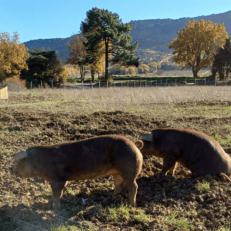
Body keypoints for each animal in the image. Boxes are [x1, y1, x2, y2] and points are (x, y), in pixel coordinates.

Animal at [12, 134, 143, 210]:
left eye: (19, 163)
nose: (10, 169)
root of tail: (135, 146)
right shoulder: (62, 180)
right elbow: (60, 192)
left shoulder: (57, 179)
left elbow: (56, 193)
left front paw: (55, 208)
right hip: (117, 172)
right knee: (119, 184)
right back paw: (111, 197)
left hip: (129, 170)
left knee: (133, 186)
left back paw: (132, 205)